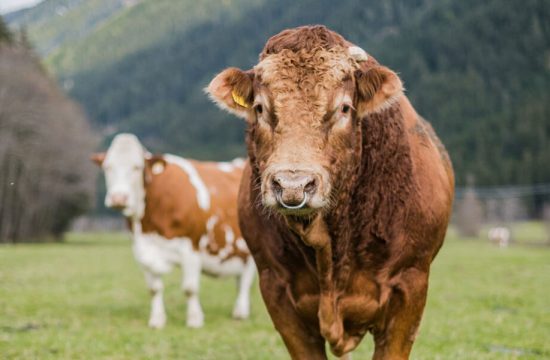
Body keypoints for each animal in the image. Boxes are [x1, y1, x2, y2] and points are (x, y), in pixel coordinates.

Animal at [91, 133, 256, 330]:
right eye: (107, 167)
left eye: (136, 167)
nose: (118, 198)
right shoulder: (143, 249)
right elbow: (154, 289)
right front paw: (157, 320)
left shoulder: (191, 247)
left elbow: (190, 288)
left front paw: (194, 320)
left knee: (245, 281)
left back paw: (241, 312)